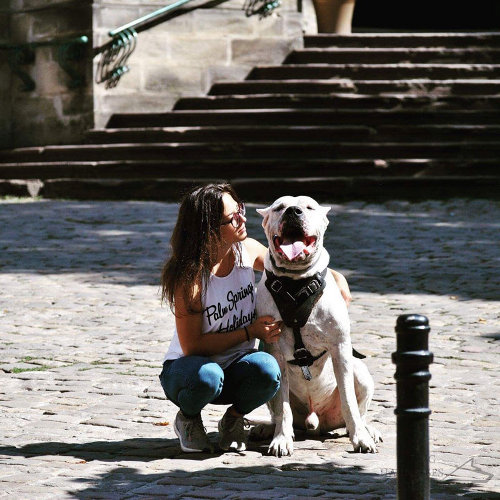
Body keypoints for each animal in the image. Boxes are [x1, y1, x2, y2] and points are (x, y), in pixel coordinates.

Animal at [254, 195, 382, 458]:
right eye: (279, 207)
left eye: (309, 207)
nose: (293, 211)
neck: (295, 284)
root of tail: (315, 420)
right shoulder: (275, 350)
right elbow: (282, 406)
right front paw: (281, 439)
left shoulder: (340, 348)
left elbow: (349, 400)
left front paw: (361, 438)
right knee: (279, 413)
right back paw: (267, 429)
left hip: (360, 372)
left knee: (359, 411)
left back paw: (367, 429)